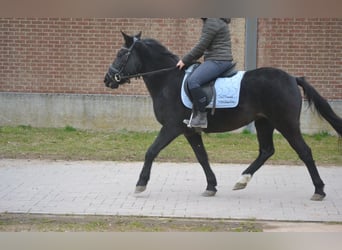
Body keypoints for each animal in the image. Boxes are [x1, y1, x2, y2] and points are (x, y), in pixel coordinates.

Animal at [104, 32, 342, 201]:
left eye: (121, 54)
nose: (107, 79)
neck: (168, 80)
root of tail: (292, 77)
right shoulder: (189, 131)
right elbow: (202, 157)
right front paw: (211, 186)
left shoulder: (172, 128)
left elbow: (151, 152)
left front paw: (140, 184)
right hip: (264, 122)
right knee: (266, 151)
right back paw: (242, 180)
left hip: (286, 123)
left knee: (304, 152)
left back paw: (319, 190)